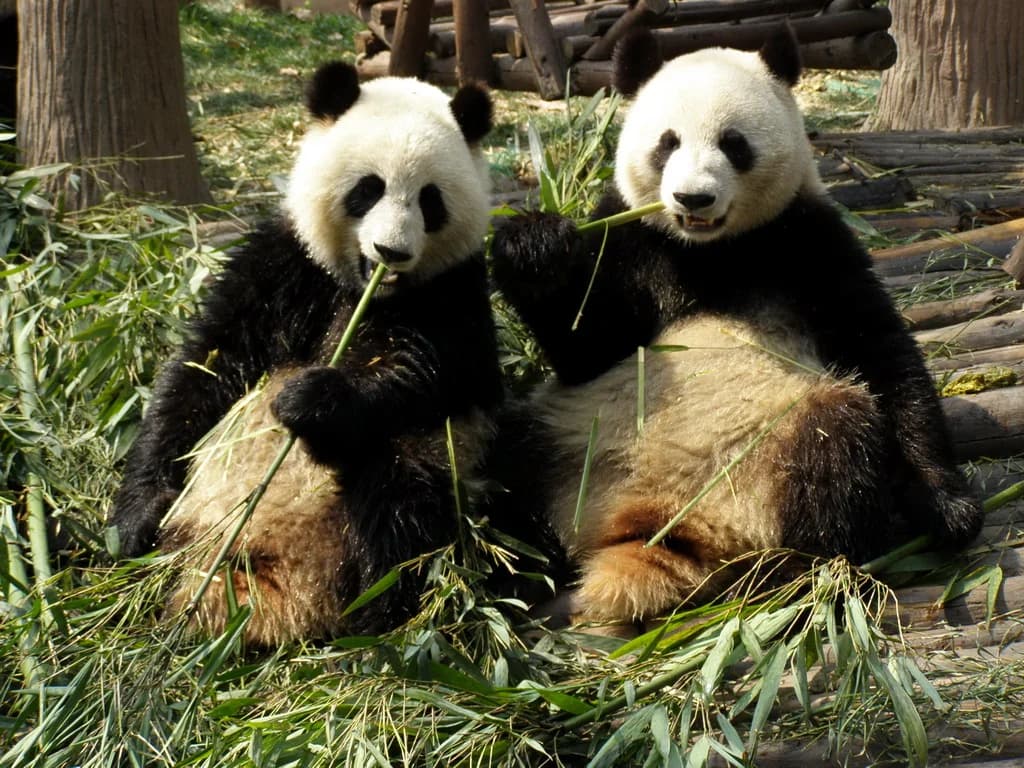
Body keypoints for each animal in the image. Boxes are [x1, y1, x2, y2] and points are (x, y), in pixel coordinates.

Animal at [108, 61, 527, 645]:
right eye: (368, 189)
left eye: (430, 200)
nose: (391, 252)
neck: (364, 289)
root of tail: (277, 597)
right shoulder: (285, 262)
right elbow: (204, 367)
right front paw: (137, 519)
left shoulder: (453, 293)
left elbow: (428, 373)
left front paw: (308, 401)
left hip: (429, 475)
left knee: (399, 499)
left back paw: (380, 619)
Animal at [489, 25, 984, 633]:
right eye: (667, 143)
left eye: (734, 144)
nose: (692, 198)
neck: (710, 252)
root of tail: (660, 526)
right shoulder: (633, 243)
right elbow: (590, 346)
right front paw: (534, 246)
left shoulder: (808, 241)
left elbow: (882, 352)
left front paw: (948, 508)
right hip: (569, 440)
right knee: (501, 468)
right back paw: (507, 574)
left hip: (772, 457)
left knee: (837, 441)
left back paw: (801, 576)